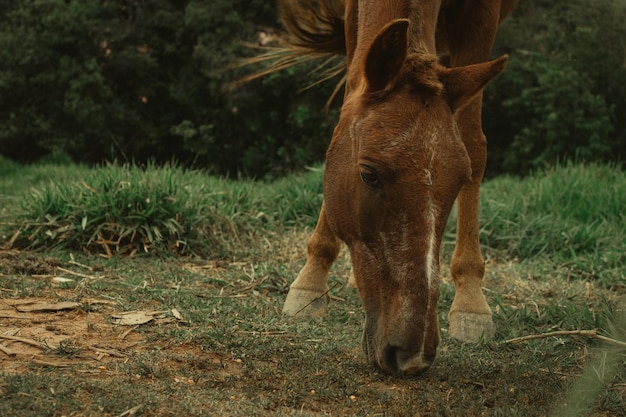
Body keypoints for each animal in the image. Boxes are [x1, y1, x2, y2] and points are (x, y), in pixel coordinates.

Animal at [266, 0, 516, 376]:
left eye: (460, 180)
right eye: (369, 174)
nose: (413, 354)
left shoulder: (484, 13)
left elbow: (473, 140)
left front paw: (471, 299)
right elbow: (346, 107)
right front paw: (311, 280)